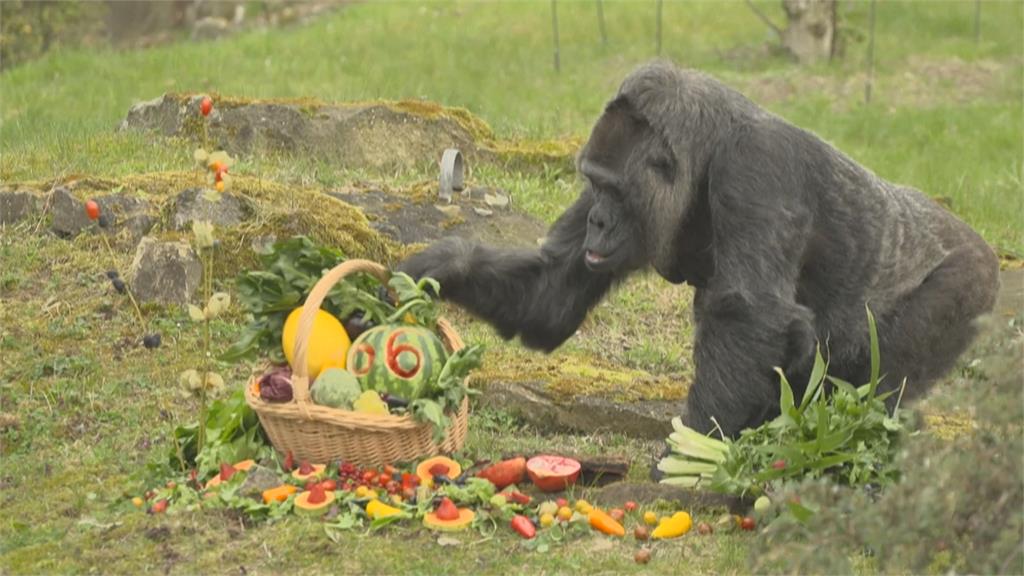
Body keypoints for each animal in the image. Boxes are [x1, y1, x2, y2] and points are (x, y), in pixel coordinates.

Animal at [399, 62, 999, 436]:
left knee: (878, 383)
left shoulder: (755, 166)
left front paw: (692, 452)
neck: (708, 149)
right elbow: (550, 293)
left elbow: (749, 315)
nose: (596, 220)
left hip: (970, 283)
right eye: (592, 183)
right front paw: (434, 268)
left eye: (614, 192)